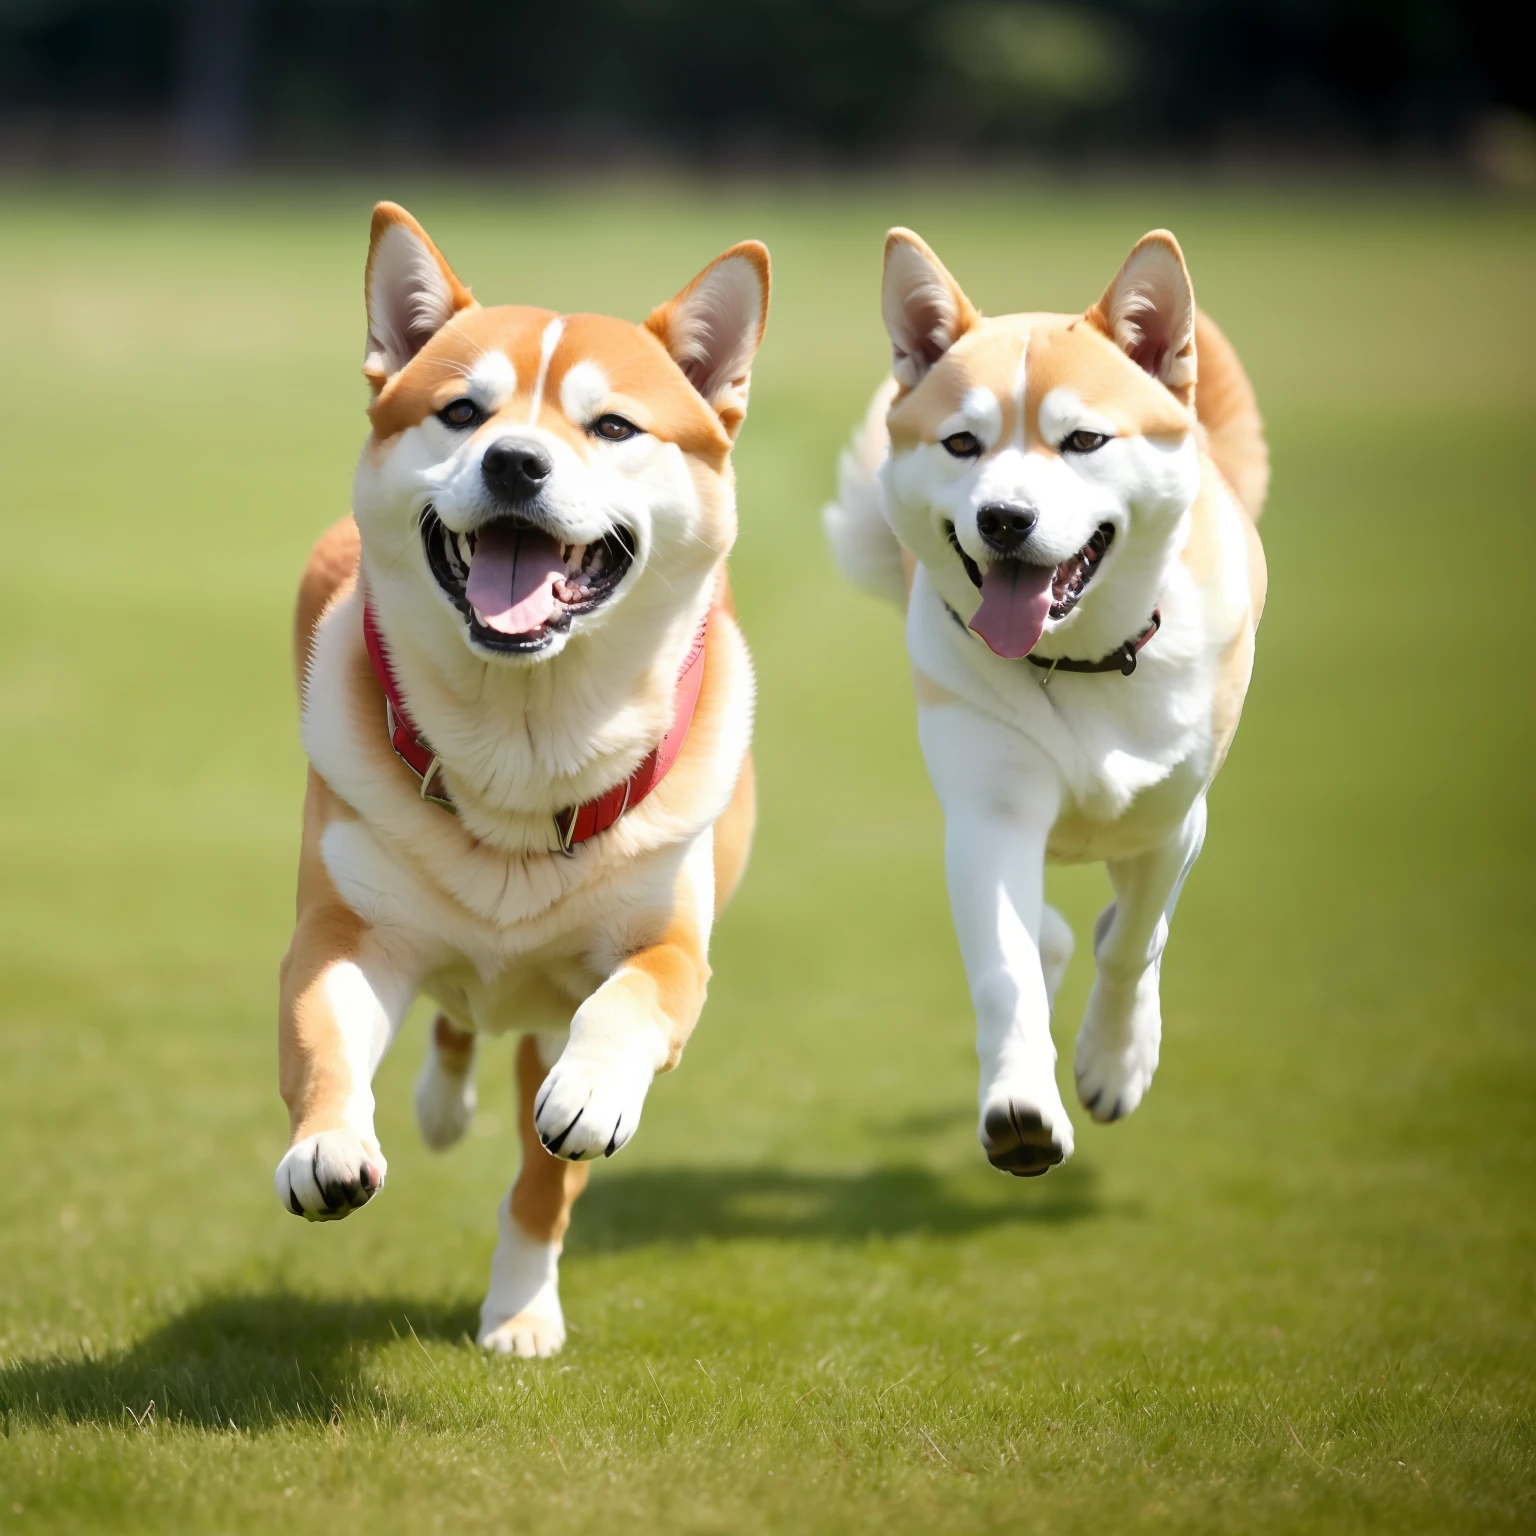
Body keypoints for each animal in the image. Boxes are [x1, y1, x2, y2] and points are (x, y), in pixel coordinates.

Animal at [276, 204, 768, 1357]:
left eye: (616, 428)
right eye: (461, 411)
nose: (511, 463)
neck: (518, 748)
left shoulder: (664, 948)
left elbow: (593, 1077)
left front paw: (520, 1310)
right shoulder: (345, 929)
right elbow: (324, 1038)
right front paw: (327, 1147)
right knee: (457, 1009)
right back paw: (438, 1100)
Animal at [829, 224, 1271, 1173]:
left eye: (1084, 442)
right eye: (963, 444)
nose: (1005, 519)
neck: (1080, 664)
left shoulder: (1172, 819)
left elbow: (1136, 944)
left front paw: (1115, 1061)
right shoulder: (990, 813)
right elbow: (1007, 970)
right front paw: (1021, 1107)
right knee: (1048, 938)